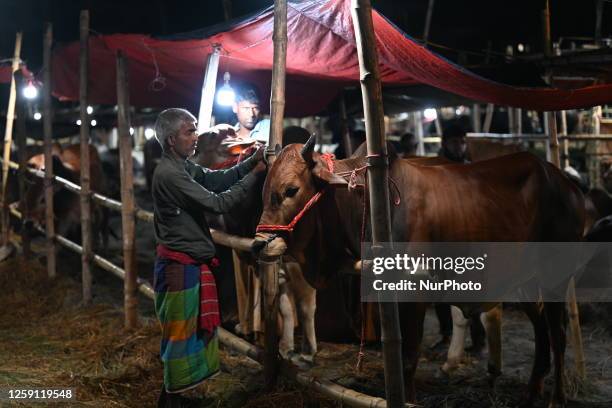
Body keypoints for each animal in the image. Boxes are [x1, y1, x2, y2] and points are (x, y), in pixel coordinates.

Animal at [252, 138, 584, 408]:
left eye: (291, 190)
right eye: (264, 190)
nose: (258, 245)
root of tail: (565, 181)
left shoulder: (416, 291)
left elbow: (409, 358)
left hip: (554, 275)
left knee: (558, 332)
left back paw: (556, 398)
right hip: (524, 281)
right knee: (541, 327)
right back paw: (531, 392)